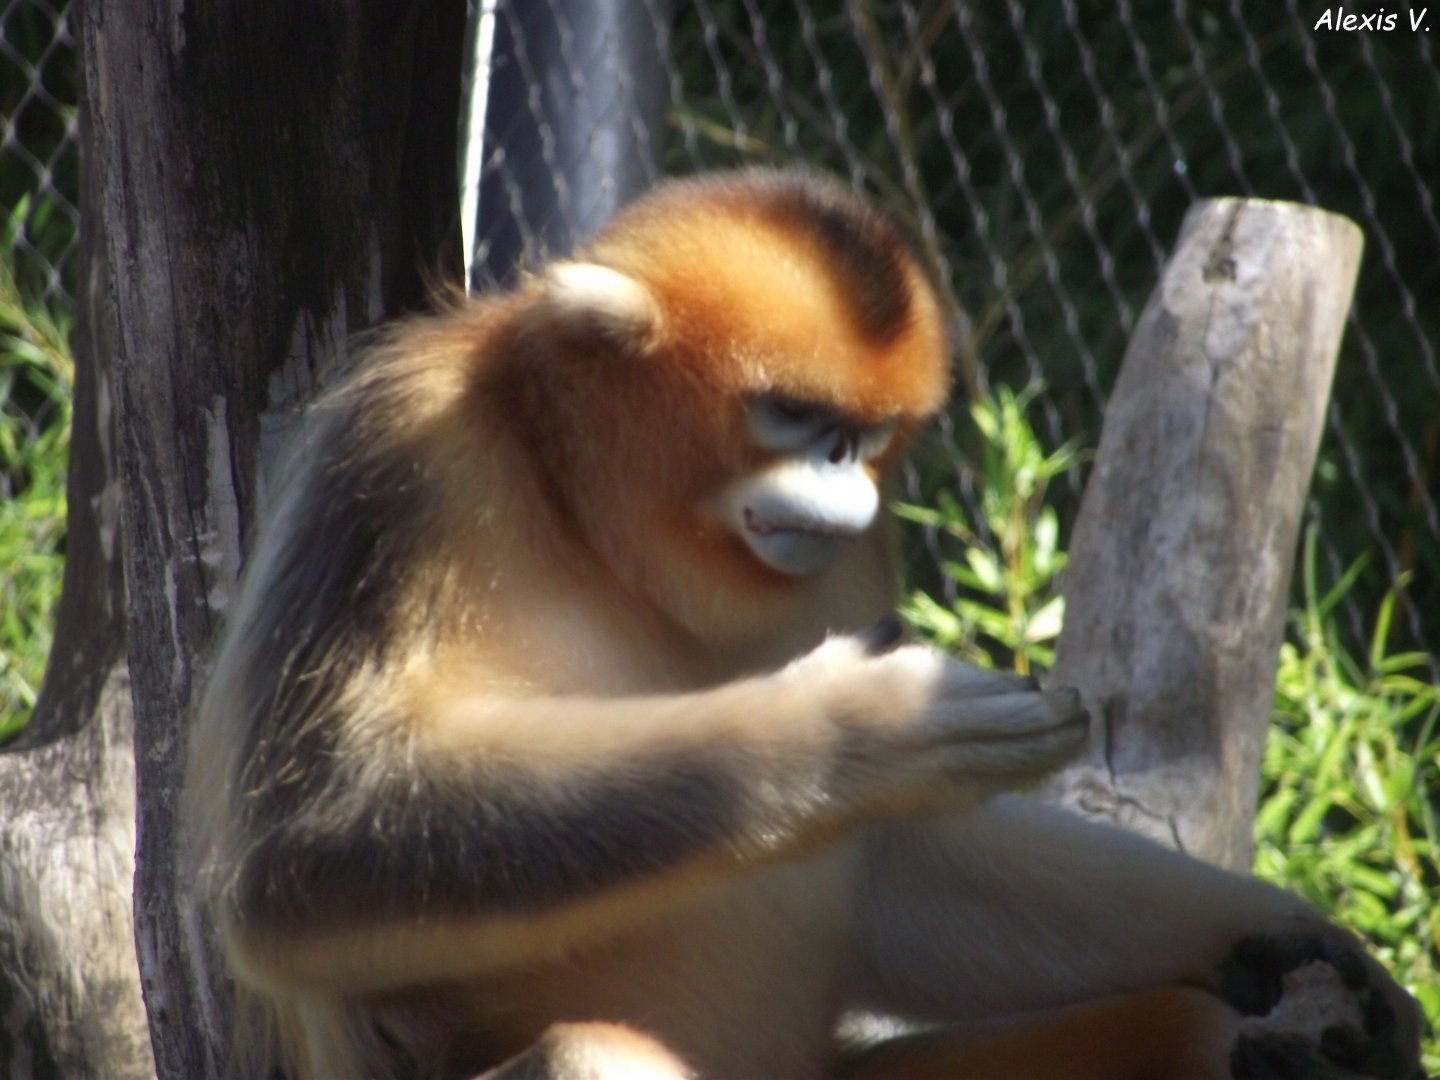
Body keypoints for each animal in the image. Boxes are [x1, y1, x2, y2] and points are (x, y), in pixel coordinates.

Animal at [186, 169, 1425, 1080]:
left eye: (866, 435)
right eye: (793, 414)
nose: (841, 476)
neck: (588, 524)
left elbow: (904, 868)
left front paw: (1311, 944)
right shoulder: (404, 457)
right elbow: (308, 855)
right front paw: (869, 727)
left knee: (1192, 1031)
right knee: (593, 1054)